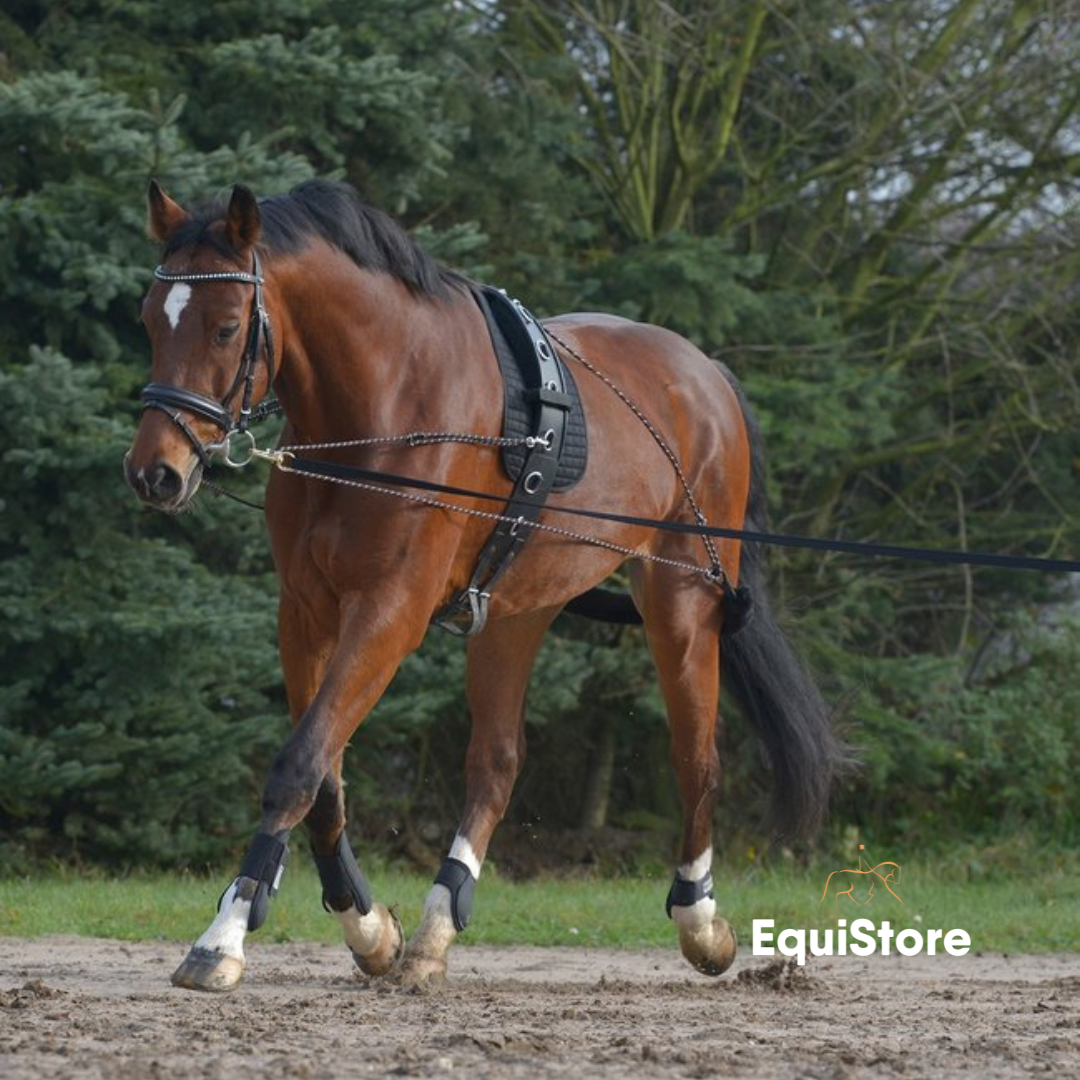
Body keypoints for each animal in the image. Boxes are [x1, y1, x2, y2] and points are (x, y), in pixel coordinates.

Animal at [123, 178, 843, 992]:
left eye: (224, 328)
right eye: (151, 318)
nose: (156, 472)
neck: (383, 404)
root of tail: (707, 374)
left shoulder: (389, 611)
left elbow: (298, 765)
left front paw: (224, 936)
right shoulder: (305, 610)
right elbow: (325, 774)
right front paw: (368, 927)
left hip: (681, 602)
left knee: (696, 757)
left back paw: (700, 919)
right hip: (515, 611)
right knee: (496, 763)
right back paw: (438, 924)